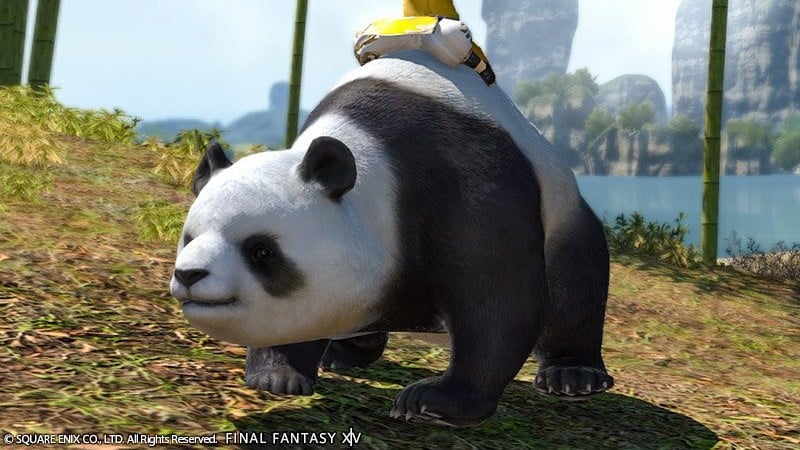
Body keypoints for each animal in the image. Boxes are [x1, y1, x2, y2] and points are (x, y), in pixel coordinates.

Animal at [170, 50, 613, 427]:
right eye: (188, 238)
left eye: (261, 251)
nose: (189, 275)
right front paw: (278, 376)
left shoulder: (466, 187)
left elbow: (499, 297)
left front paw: (436, 401)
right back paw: (344, 354)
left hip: (563, 212)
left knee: (575, 283)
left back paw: (572, 375)